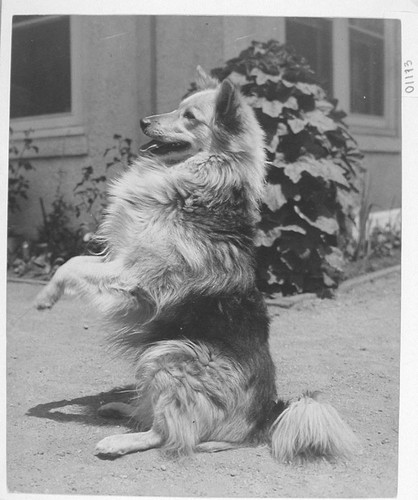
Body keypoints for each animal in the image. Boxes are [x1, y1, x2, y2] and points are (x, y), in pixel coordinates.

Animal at [35, 65, 360, 460]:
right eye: (178, 108)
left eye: (189, 117)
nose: (143, 121)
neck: (198, 184)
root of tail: (266, 416)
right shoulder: (119, 258)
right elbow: (75, 259)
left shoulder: (133, 274)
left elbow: (71, 266)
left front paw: (45, 297)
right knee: (161, 416)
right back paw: (122, 408)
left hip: (169, 353)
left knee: (168, 431)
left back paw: (119, 441)